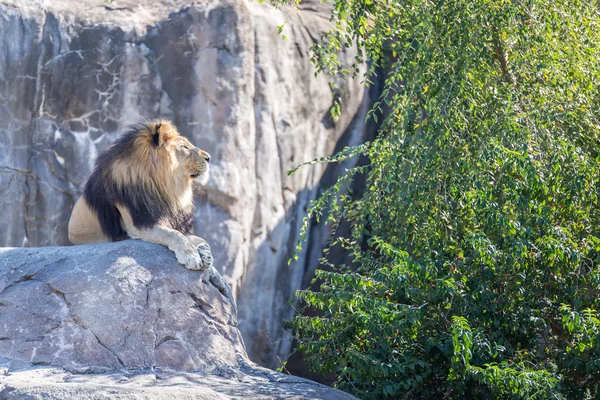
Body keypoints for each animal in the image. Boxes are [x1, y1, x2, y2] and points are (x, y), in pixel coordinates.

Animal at [67, 119, 212, 272]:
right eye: (185, 147)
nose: (208, 158)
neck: (166, 187)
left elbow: (196, 238)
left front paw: (204, 252)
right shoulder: (139, 224)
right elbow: (174, 234)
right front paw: (191, 256)